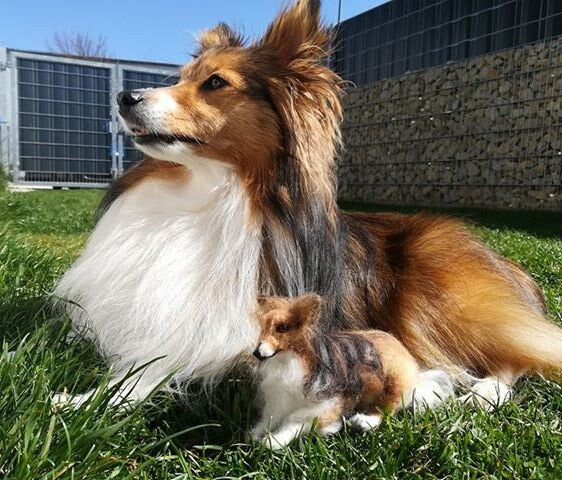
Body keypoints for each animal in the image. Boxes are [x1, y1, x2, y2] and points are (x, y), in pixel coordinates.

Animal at [52, 0, 560, 410]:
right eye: (180, 79)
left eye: (214, 82)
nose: (124, 97)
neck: (210, 194)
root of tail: (505, 263)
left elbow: (160, 366)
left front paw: (85, 401)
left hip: (439, 292)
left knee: (523, 354)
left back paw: (485, 390)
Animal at [250, 294, 420, 448]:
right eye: (263, 328)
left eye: (283, 328)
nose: (256, 353)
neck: (290, 360)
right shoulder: (280, 399)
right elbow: (270, 418)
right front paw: (254, 434)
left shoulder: (327, 404)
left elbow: (293, 423)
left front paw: (272, 441)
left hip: (394, 382)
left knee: (385, 409)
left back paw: (363, 421)